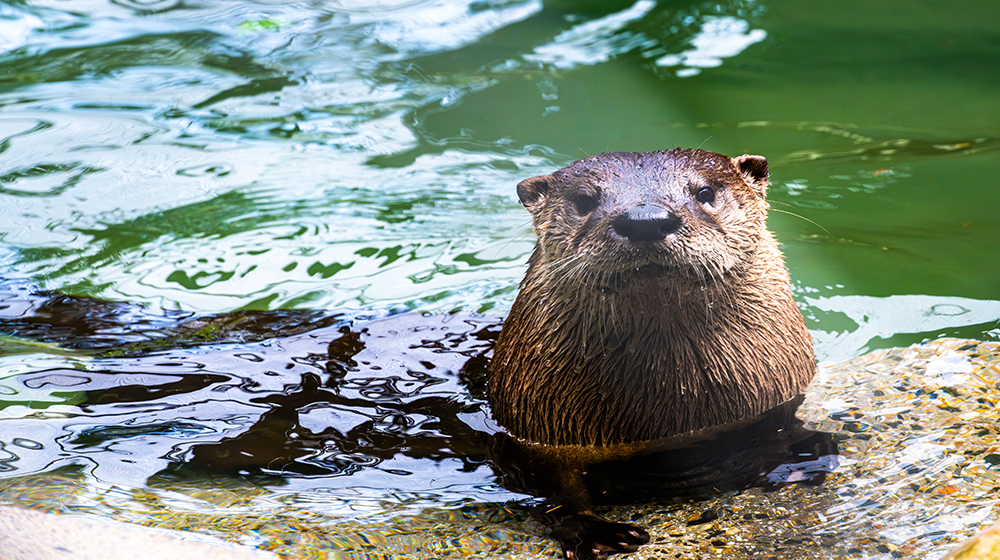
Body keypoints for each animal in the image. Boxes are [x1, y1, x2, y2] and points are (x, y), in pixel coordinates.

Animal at [487, 148, 817, 557]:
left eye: (705, 192)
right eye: (584, 200)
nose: (645, 220)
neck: (669, 416)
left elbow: (778, 427)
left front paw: (798, 465)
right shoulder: (534, 432)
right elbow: (549, 485)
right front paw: (592, 530)